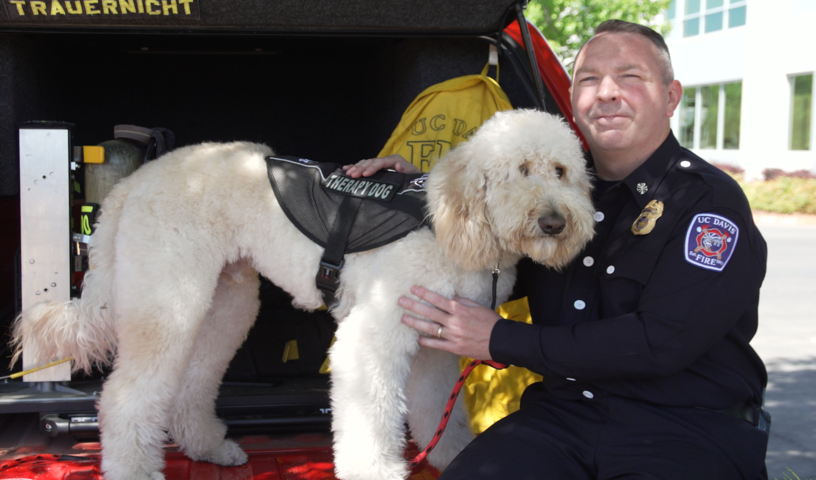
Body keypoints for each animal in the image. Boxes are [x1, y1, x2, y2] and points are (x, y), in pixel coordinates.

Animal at [6, 109, 592, 480]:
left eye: (561, 171)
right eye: (519, 170)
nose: (555, 222)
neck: (451, 223)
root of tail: (135, 182)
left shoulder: (431, 348)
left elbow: (435, 413)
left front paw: (453, 456)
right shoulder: (371, 342)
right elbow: (371, 417)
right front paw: (376, 471)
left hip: (224, 304)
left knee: (190, 386)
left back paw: (209, 448)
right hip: (168, 299)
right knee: (125, 398)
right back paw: (135, 470)